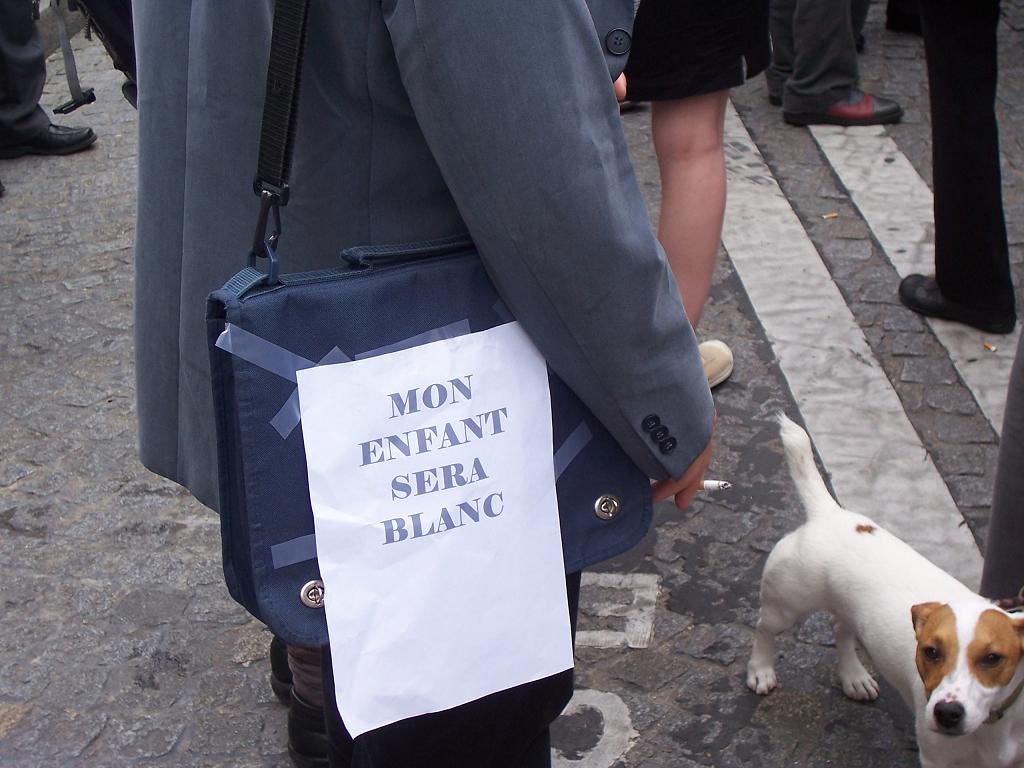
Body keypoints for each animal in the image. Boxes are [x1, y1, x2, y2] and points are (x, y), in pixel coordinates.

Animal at [745, 417, 1024, 765]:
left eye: (992, 658)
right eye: (930, 652)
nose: (947, 713)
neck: (994, 724)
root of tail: (829, 514)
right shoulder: (937, 760)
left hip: (847, 607)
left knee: (841, 628)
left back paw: (854, 676)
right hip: (785, 604)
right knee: (763, 629)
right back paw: (761, 670)